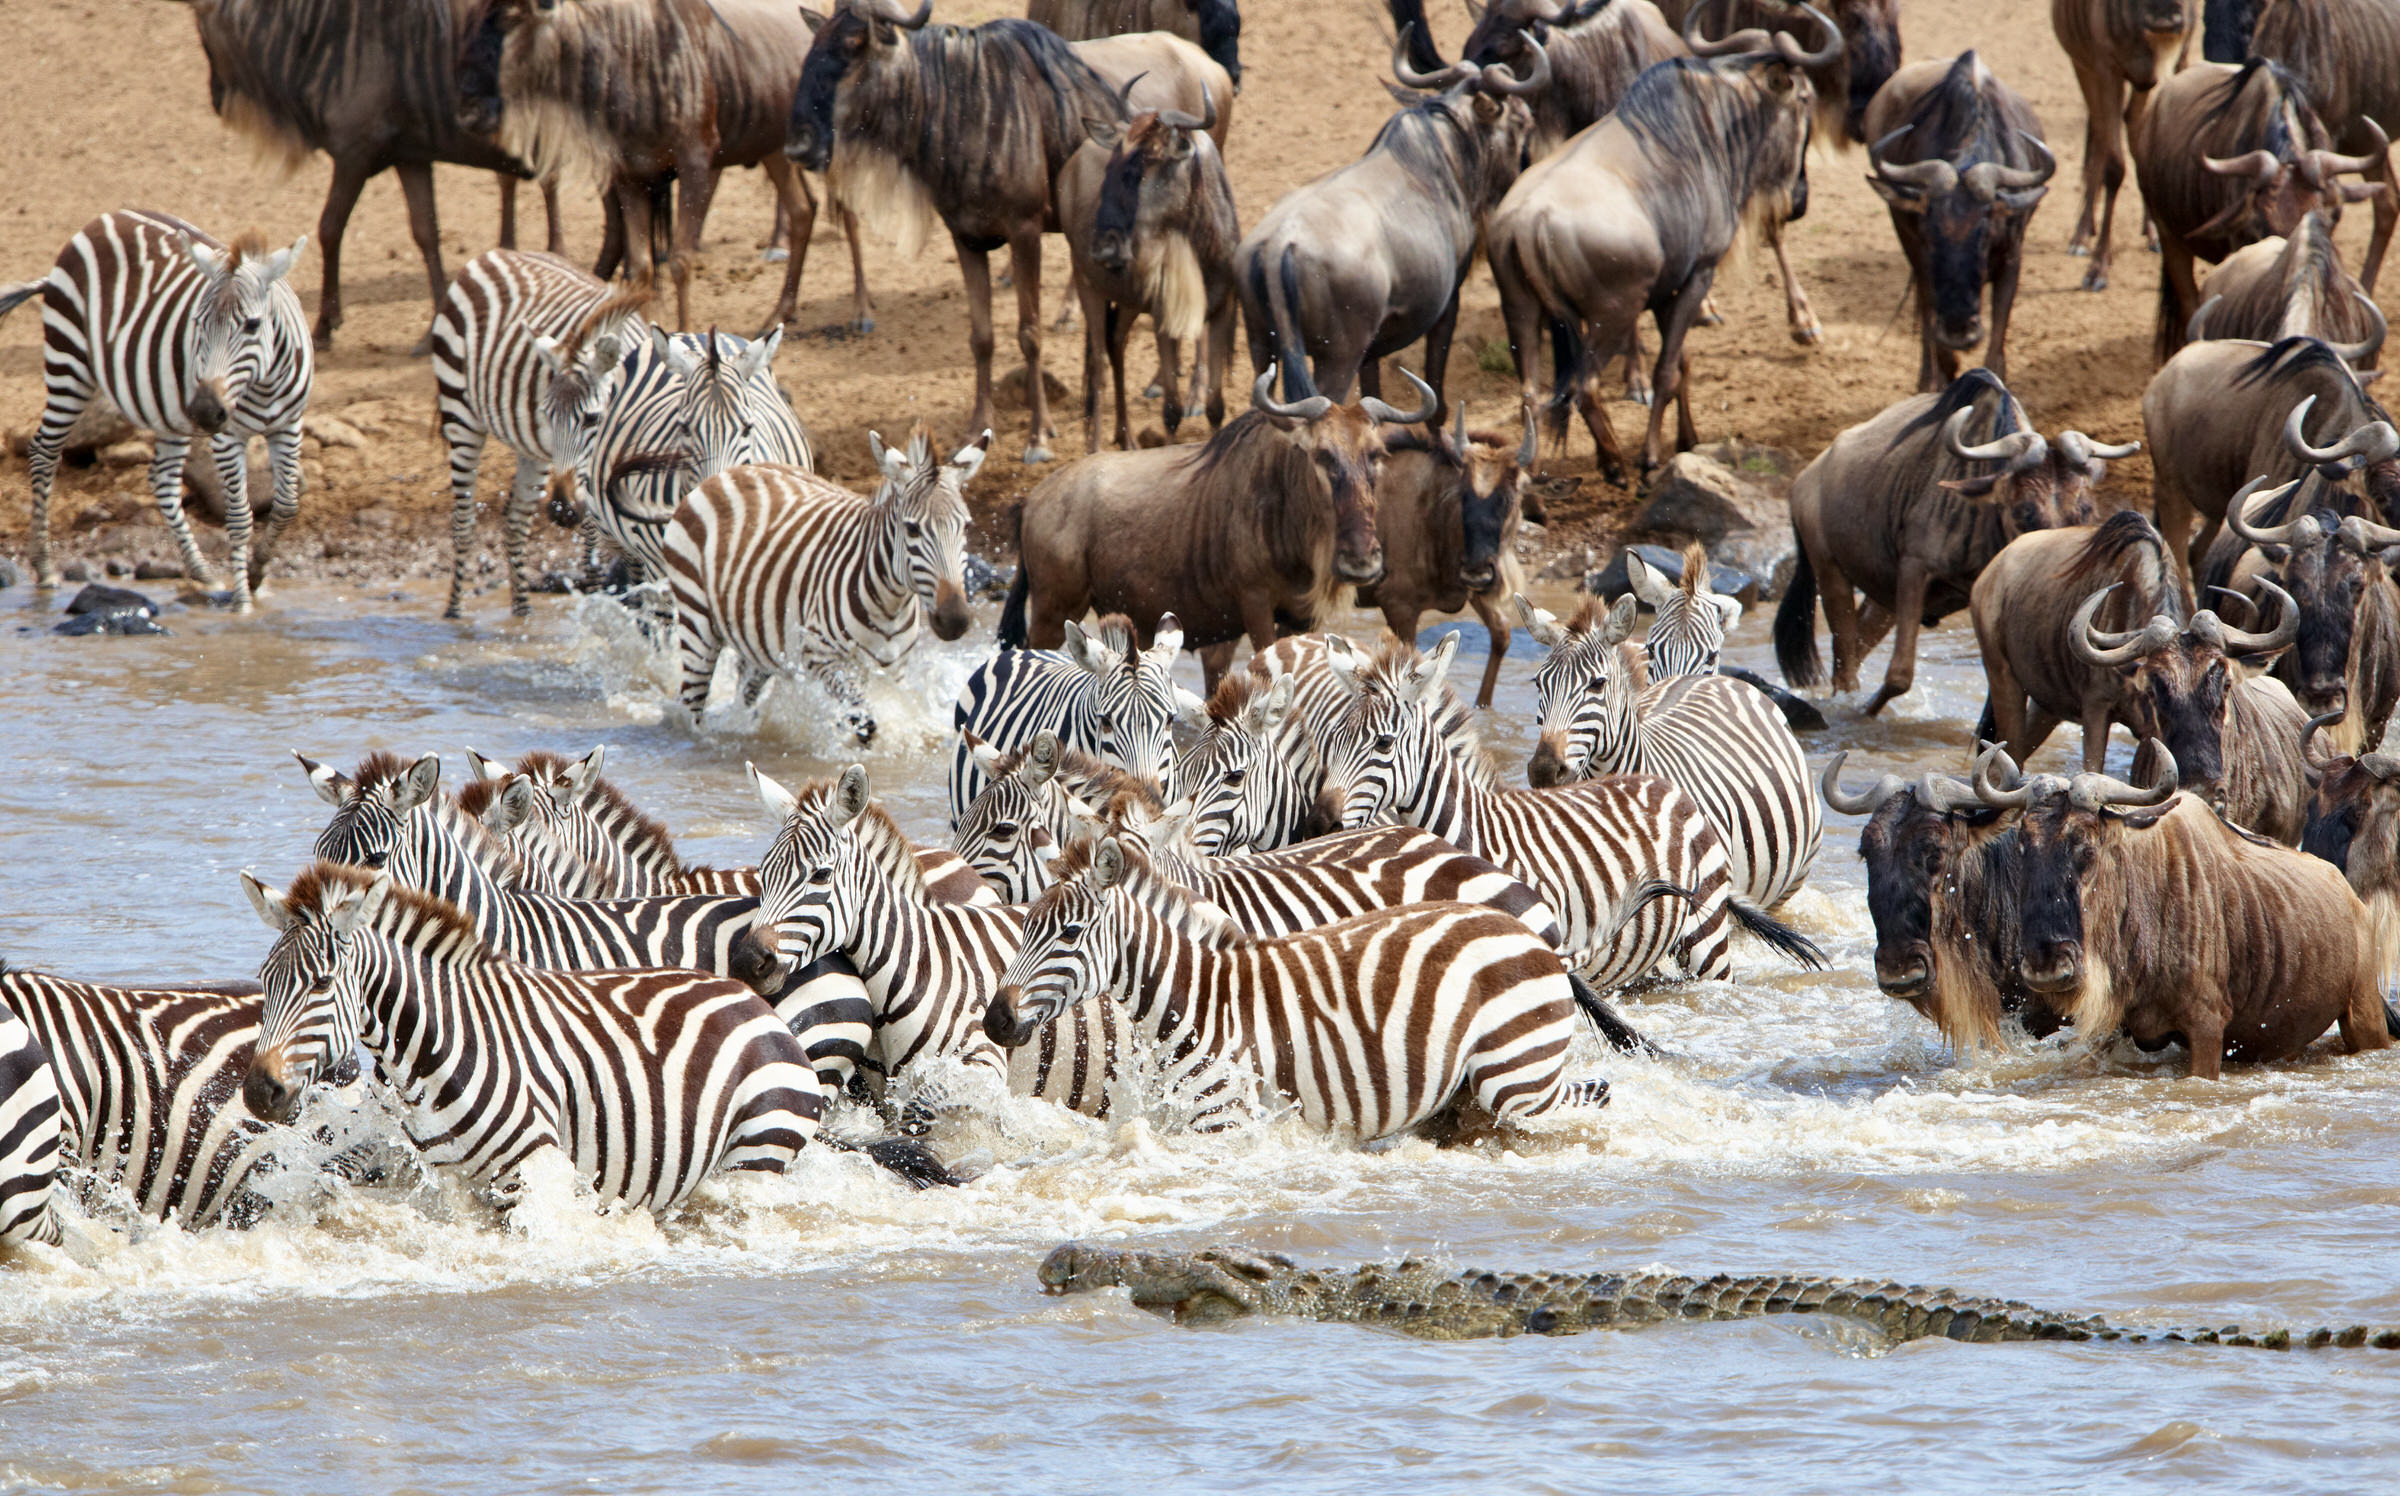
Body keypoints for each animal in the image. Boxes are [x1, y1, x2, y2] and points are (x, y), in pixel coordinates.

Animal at [0, 209, 311, 612]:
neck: (263, 384)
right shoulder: (227, 438)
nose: (205, 410)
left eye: (253, 325)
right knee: (43, 452)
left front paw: (257, 574)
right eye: (199, 322)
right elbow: (240, 517)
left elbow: (287, 505)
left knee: (162, 478)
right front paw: (242, 603)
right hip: (69, 362)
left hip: (167, 409)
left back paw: (203, 573)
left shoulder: (289, 425)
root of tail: (99, 220)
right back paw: (45, 568)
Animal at [241, 864, 821, 1213]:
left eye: (321, 983)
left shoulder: (533, 1173)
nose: (257, 1092)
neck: (440, 1045)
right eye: (263, 979)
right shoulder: (453, 1183)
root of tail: (753, 999)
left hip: (755, 1156)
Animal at [430, 248, 645, 619]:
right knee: (463, 523)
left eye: (593, 418)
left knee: (514, 523)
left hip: (532, 451)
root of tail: (490, 255)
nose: (561, 510)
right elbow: (595, 546)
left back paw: (523, 614)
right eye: (548, 416)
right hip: (459, 410)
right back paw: (454, 613)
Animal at [662, 431, 986, 738]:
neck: (889, 605)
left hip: (758, 639)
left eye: (967, 526)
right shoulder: (821, 657)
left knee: (744, 695)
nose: (955, 620)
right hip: (697, 625)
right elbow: (864, 722)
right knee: (691, 705)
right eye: (912, 529)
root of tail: (727, 473)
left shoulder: (893, 672)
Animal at [982, 836, 1609, 1141]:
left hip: (1514, 1075)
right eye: (1024, 927)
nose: (995, 1021)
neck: (1200, 1004)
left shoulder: (1226, 1123)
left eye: (1068, 934)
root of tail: (1528, 935)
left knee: (1590, 1096)